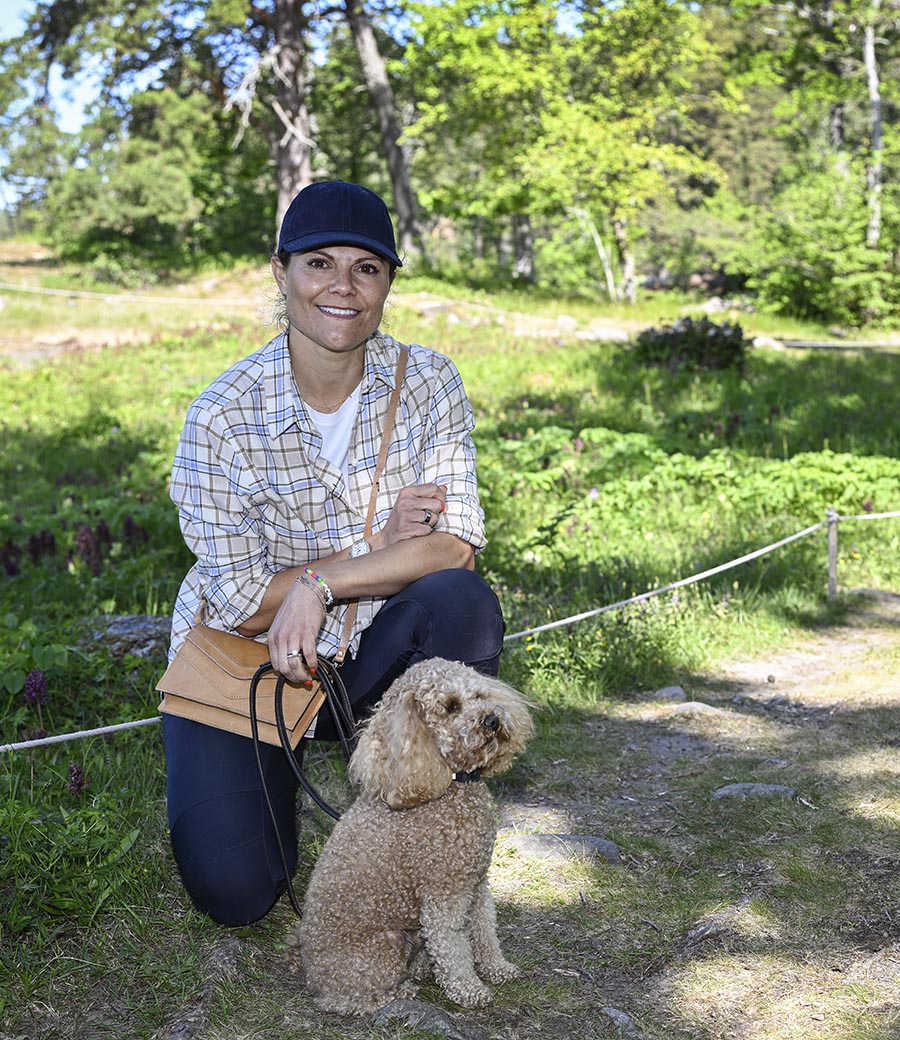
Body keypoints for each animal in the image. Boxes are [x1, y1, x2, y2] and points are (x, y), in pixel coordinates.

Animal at [297, 657, 530, 1015]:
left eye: (479, 695)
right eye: (451, 706)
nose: (492, 719)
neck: (448, 785)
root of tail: (311, 976)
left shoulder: (476, 883)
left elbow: (484, 927)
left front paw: (496, 967)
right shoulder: (444, 894)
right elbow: (452, 946)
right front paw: (468, 989)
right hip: (380, 950)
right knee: (348, 1000)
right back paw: (399, 992)